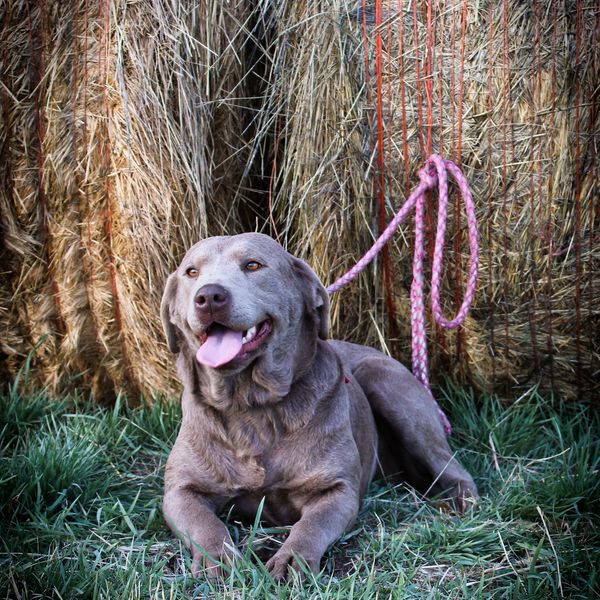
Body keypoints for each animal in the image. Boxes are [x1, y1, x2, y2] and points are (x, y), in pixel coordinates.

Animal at [159, 232, 478, 580]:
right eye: (191, 272)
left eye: (253, 265)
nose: (209, 296)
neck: (252, 406)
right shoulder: (181, 491)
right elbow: (205, 523)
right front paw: (216, 558)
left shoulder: (336, 490)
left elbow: (311, 525)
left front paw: (292, 559)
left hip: (388, 386)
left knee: (450, 465)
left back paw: (460, 500)